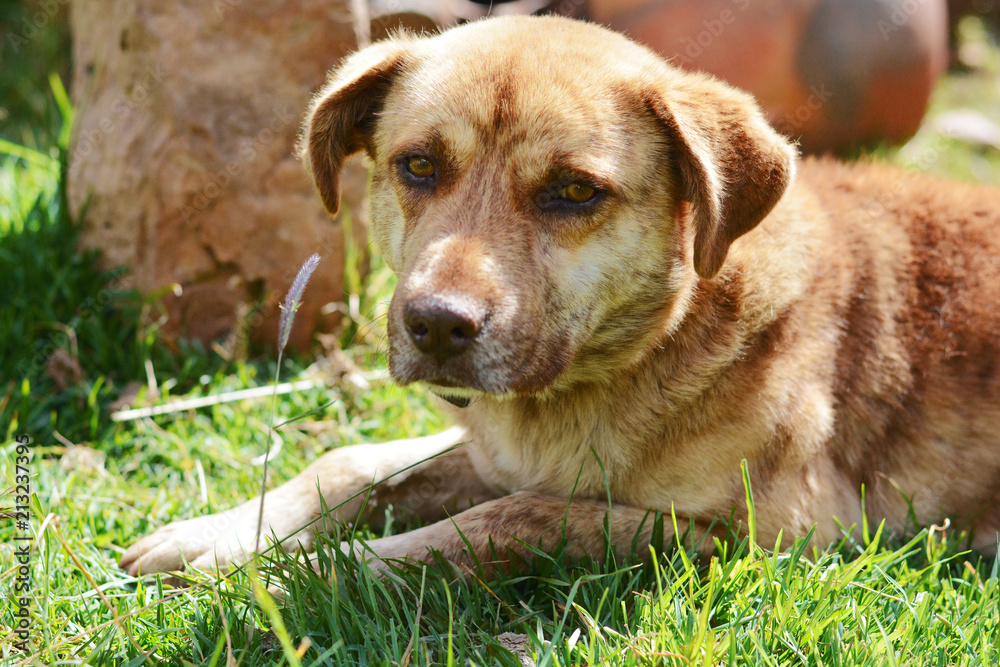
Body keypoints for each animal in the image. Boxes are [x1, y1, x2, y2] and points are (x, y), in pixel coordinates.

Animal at [123, 15, 1000, 580]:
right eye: (417, 166)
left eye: (575, 191)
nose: (435, 326)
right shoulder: (498, 453)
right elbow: (350, 464)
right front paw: (222, 533)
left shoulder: (766, 534)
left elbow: (500, 521)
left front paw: (290, 576)